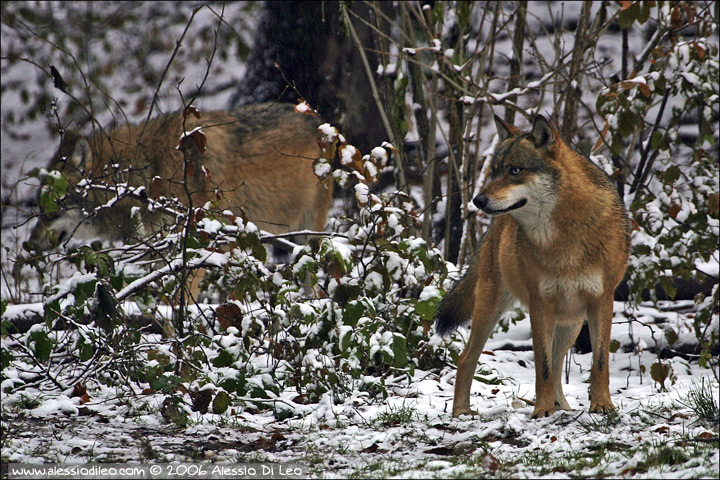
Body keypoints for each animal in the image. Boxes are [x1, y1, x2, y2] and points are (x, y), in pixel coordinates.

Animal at [434, 114, 632, 418]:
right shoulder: (540, 304)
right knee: (466, 358)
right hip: (491, 309)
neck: (565, 234)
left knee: (558, 361)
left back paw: (563, 407)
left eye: (515, 170)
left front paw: (602, 406)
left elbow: (599, 363)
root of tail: (492, 230)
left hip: (571, 322)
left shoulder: (602, 300)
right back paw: (461, 412)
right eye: (494, 171)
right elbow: (543, 367)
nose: (477, 200)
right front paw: (542, 410)